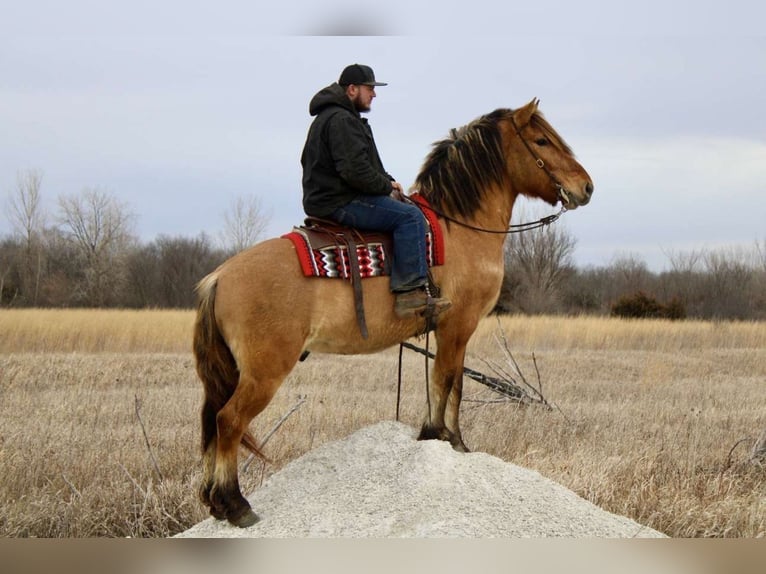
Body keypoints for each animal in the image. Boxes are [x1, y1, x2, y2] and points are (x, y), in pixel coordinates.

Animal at [190, 98, 592, 528]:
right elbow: (446, 381)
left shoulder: (455, 330)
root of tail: (220, 277)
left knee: (213, 422)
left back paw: (215, 503)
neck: (460, 228)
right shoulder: (457, 325)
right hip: (264, 371)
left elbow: (452, 383)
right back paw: (236, 504)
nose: (586, 187)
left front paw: (451, 440)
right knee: (229, 421)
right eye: (542, 140)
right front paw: (442, 436)